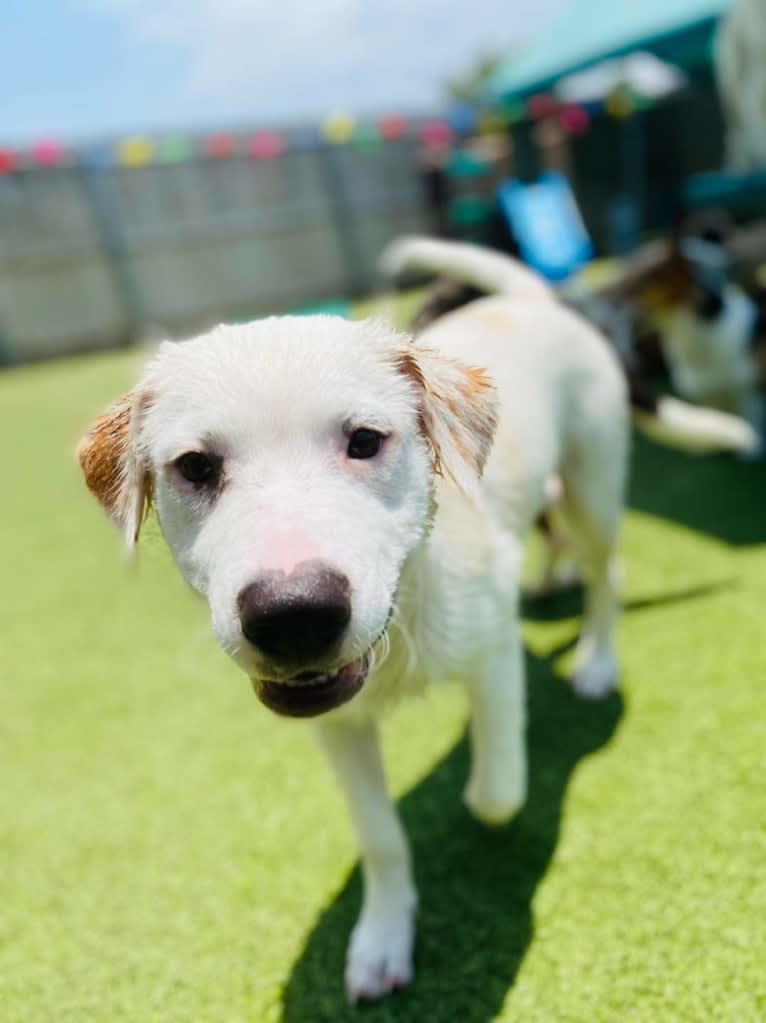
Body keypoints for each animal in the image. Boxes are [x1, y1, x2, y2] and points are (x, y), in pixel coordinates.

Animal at [79, 245, 625, 998]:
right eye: (195, 465)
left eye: (365, 440)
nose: (293, 614)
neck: (401, 631)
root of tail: (527, 300)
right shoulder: (338, 728)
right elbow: (380, 837)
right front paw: (384, 936)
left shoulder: (492, 652)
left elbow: (497, 791)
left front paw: (477, 800)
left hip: (594, 484)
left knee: (606, 573)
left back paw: (597, 657)